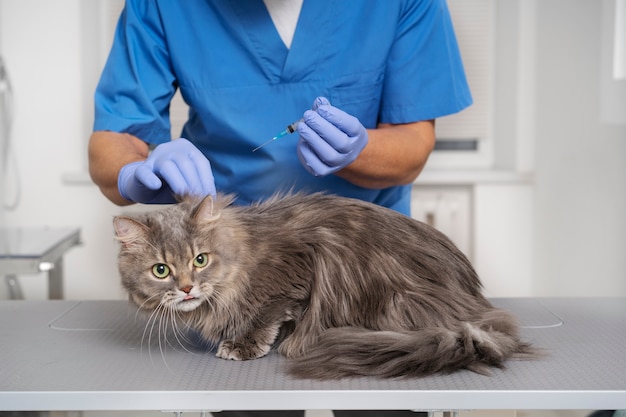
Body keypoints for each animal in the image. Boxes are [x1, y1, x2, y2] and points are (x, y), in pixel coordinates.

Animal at [111, 193, 532, 378]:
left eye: (200, 260)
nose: (186, 289)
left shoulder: (296, 270)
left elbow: (267, 314)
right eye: (161, 270)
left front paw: (244, 345)